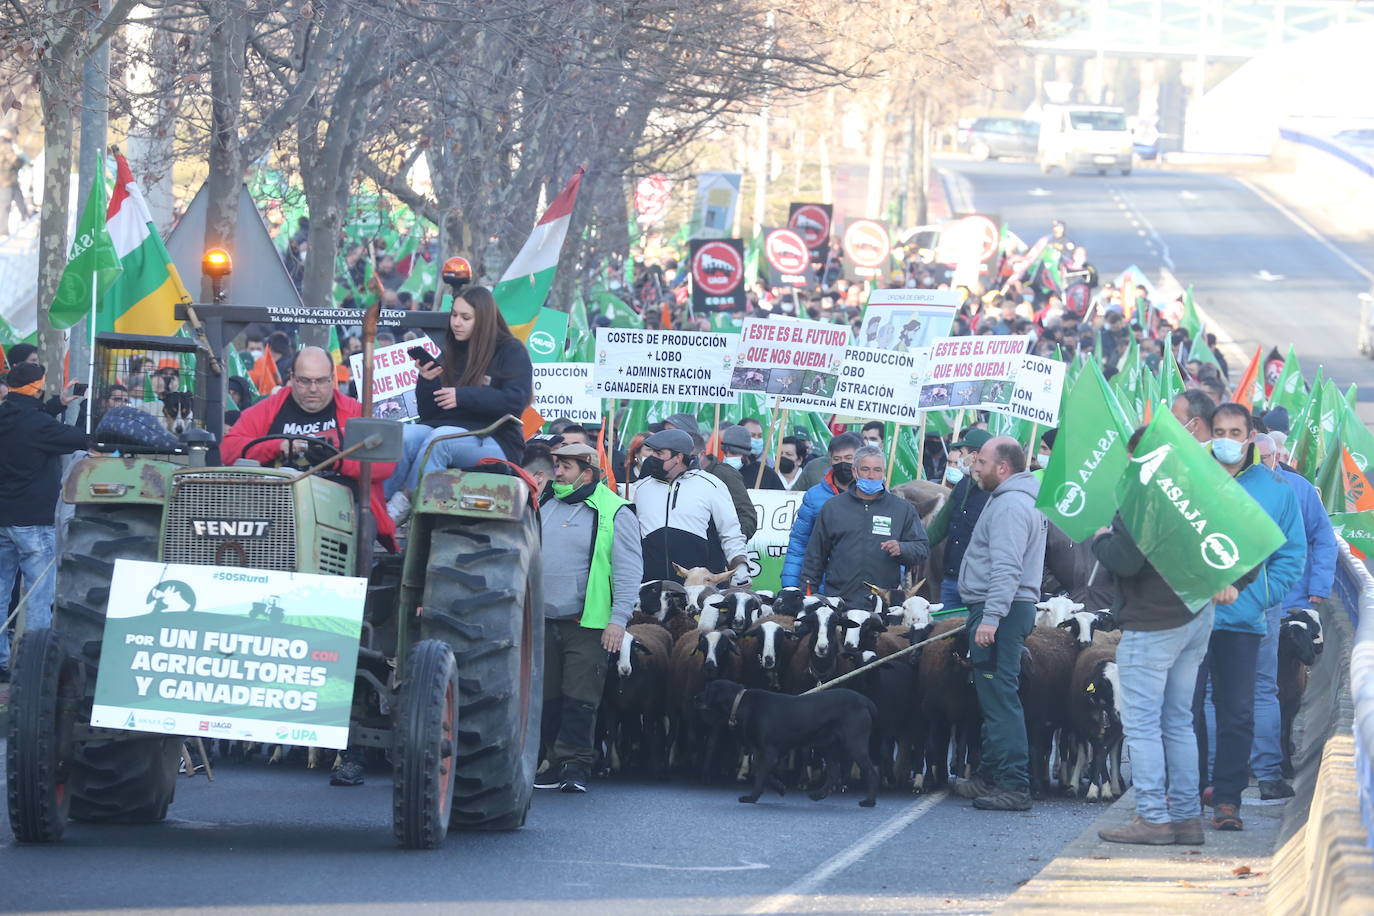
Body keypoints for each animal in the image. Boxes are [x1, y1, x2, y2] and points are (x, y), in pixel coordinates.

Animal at [697, 678, 879, 807]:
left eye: (707, 689)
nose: (694, 697)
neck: (740, 702)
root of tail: (864, 700)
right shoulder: (763, 752)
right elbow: (762, 772)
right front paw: (780, 787)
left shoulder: (769, 752)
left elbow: (760, 774)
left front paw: (751, 797)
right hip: (827, 746)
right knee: (834, 774)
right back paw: (818, 795)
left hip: (854, 744)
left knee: (870, 772)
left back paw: (869, 802)